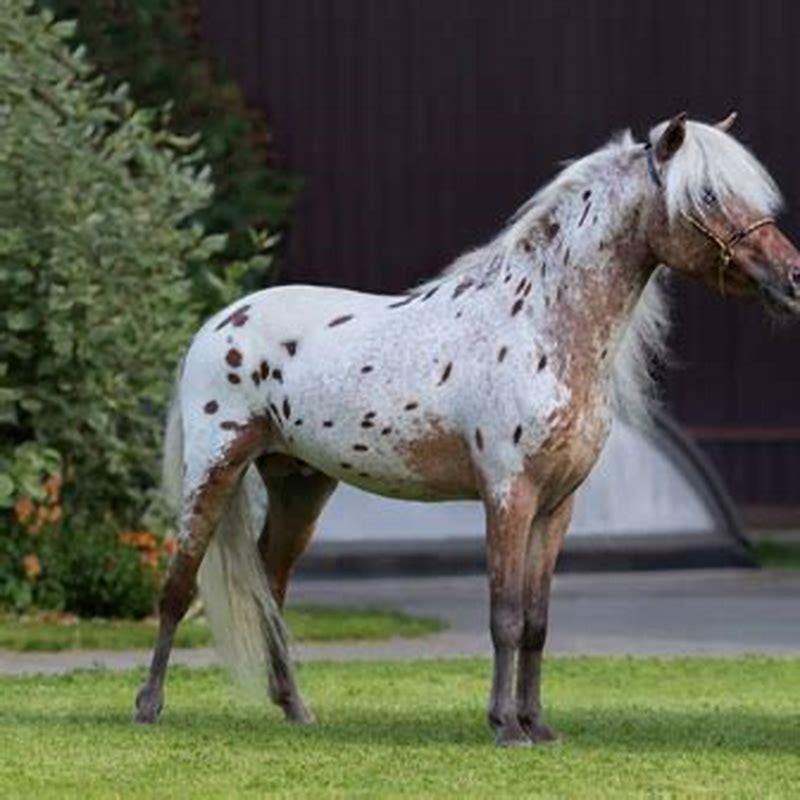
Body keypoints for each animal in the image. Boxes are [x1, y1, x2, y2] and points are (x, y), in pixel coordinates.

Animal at [134, 112, 800, 746]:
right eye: (708, 196)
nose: (792, 277)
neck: (539, 325)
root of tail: (219, 323)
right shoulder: (508, 495)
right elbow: (504, 615)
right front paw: (505, 727)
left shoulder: (557, 507)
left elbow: (536, 621)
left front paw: (538, 725)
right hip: (214, 470)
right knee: (178, 586)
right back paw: (148, 708)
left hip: (300, 485)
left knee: (271, 592)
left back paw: (297, 710)